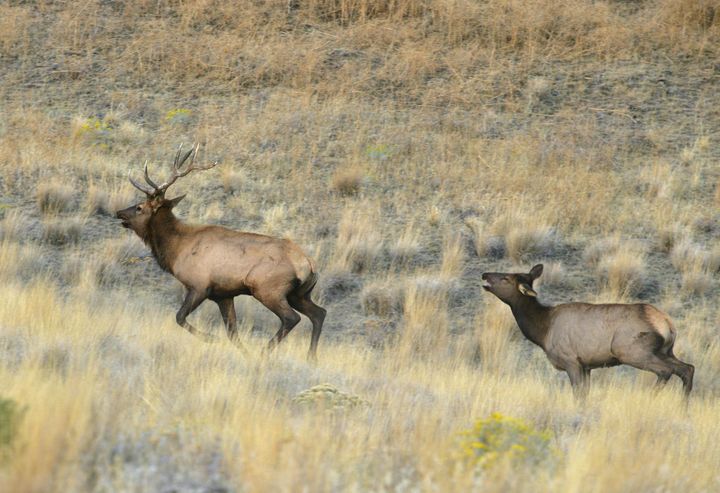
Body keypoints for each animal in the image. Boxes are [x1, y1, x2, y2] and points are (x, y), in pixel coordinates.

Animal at [116, 144, 326, 360]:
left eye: (139, 207)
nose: (119, 212)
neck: (176, 249)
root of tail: (309, 264)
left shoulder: (199, 285)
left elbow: (180, 317)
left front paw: (211, 338)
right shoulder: (223, 295)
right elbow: (232, 331)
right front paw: (243, 352)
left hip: (268, 289)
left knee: (292, 318)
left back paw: (265, 351)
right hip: (299, 294)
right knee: (319, 313)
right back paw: (311, 356)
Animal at [480, 264, 696, 398]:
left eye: (506, 278)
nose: (484, 274)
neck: (542, 330)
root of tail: (668, 325)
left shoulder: (571, 361)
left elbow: (578, 395)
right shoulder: (587, 366)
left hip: (632, 352)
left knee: (666, 371)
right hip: (666, 351)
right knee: (687, 368)